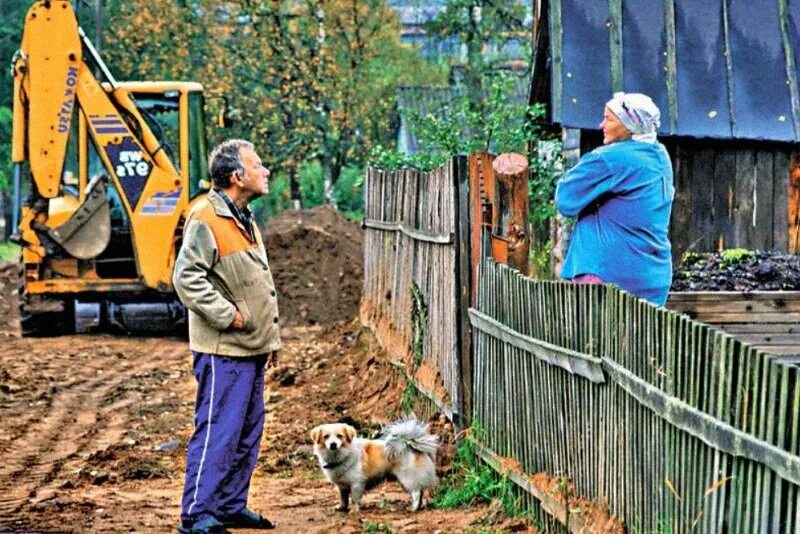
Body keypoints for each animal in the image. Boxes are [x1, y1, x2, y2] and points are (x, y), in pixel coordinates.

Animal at [310, 418, 438, 516]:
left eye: (339, 436)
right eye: (326, 436)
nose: (333, 444)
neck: (343, 455)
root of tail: (409, 444)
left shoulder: (356, 484)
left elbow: (354, 499)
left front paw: (354, 510)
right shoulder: (342, 486)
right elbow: (343, 498)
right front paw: (342, 507)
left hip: (407, 478)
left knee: (416, 493)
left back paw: (413, 508)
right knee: (420, 492)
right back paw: (418, 507)